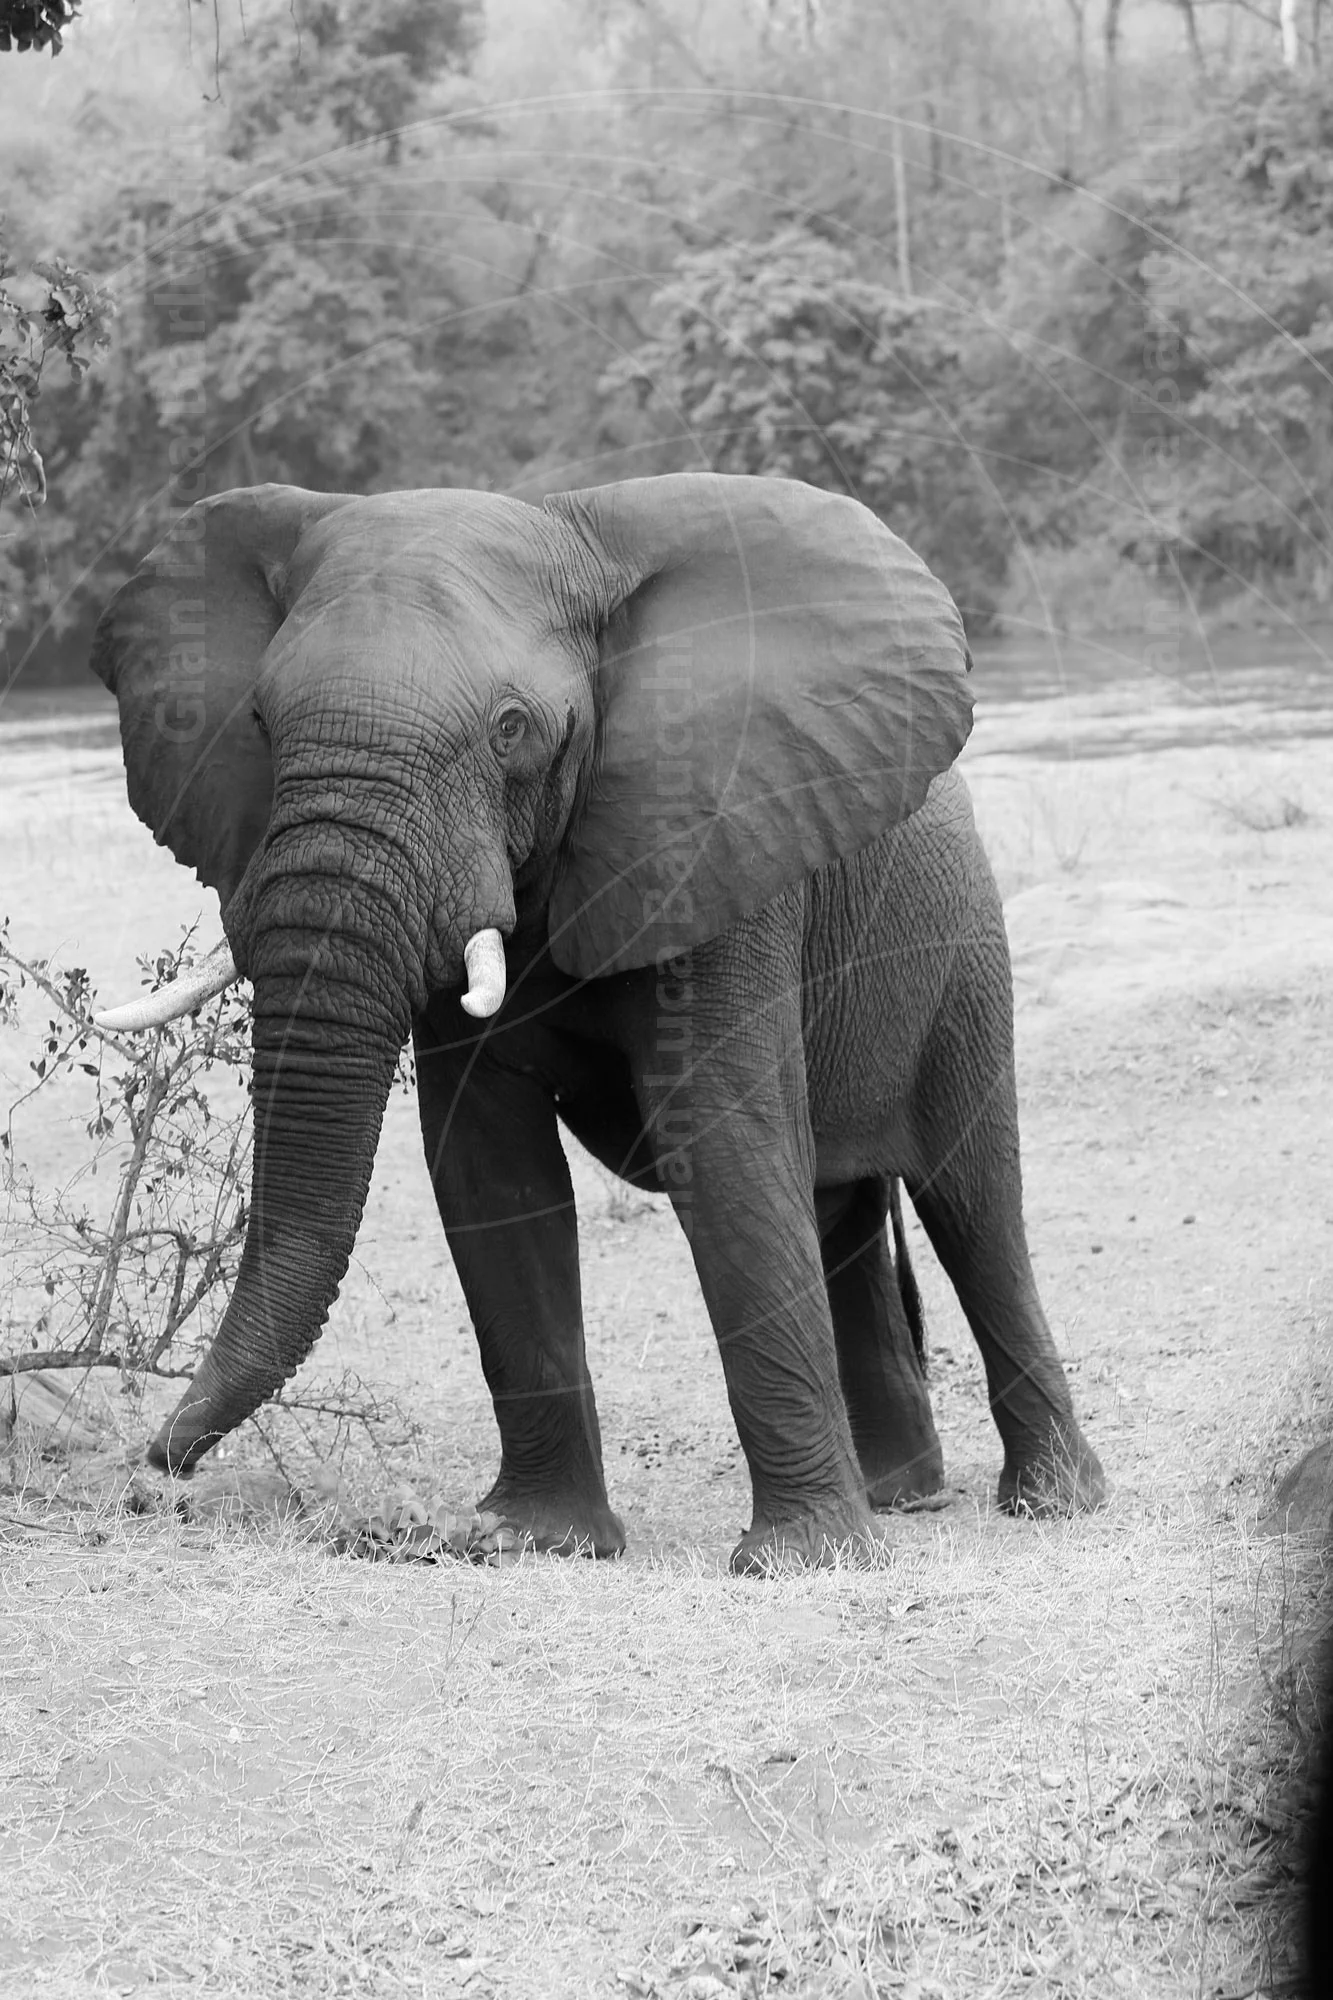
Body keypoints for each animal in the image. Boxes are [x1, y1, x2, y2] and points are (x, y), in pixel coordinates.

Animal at [90, 471, 1105, 1572]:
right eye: (261, 720)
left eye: (510, 729)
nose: (160, 1462)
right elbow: (490, 1168)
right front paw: (536, 1537)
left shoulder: (716, 840)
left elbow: (724, 1142)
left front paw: (793, 1563)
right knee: (842, 1212)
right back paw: (899, 1495)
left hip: (962, 951)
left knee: (971, 1203)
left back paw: (1048, 1500)